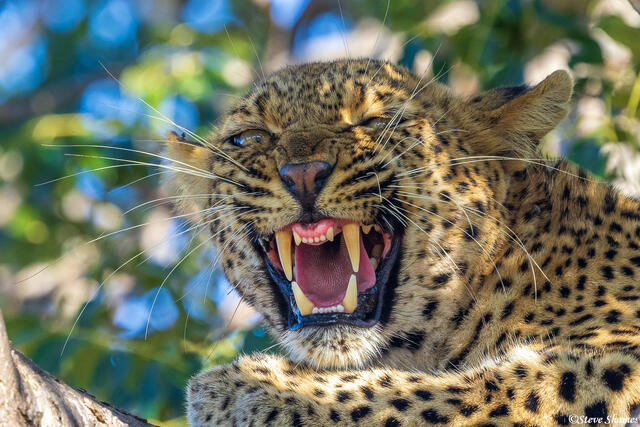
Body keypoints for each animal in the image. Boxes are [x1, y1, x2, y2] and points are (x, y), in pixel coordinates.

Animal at [166, 59, 640, 426]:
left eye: (374, 122)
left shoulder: (621, 362)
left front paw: (260, 388)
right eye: (249, 138)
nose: (302, 173)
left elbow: (488, 390)